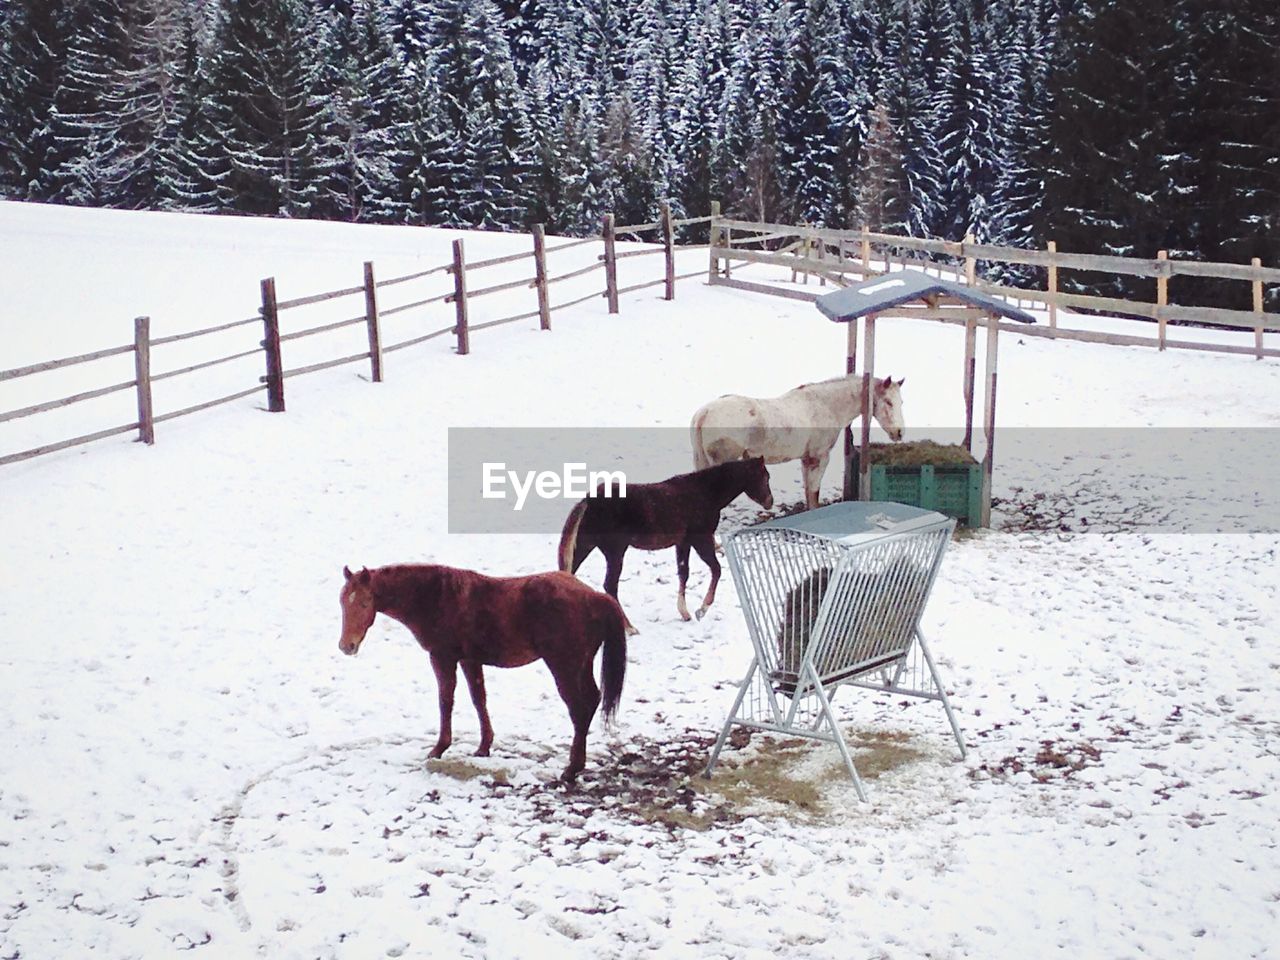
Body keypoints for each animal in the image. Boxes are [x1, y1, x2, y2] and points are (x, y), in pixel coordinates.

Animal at [335, 563, 624, 783]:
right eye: (342, 602)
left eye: (365, 602)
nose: (346, 646)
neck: (436, 596)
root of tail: (595, 596)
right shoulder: (470, 660)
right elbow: (479, 699)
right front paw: (484, 747)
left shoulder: (443, 658)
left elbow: (446, 701)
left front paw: (438, 748)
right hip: (581, 665)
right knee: (592, 701)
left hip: (564, 667)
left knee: (579, 708)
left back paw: (571, 769)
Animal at [558, 455, 768, 632]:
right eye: (765, 477)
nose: (769, 501)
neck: (704, 492)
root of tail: (588, 501)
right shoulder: (701, 539)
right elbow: (716, 570)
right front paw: (701, 610)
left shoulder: (683, 542)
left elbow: (684, 573)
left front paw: (685, 613)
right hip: (615, 552)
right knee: (610, 585)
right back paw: (629, 628)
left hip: (585, 546)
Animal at [691, 373, 911, 512]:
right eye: (888, 402)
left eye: (901, 402)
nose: (899, 433)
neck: (825, 406)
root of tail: (704, 413)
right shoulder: (819, 458)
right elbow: (814, 493)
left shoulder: (806, 459)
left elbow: (808, 492)